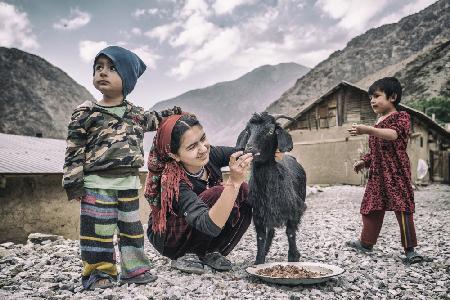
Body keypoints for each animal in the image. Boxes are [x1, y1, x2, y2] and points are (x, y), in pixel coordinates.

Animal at [236, 112, 306, 264]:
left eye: (270, 131)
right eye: (248, 130)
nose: (250, 149)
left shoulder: (294, 210)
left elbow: (290, 233)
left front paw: (293, 257)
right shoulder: (259, 214)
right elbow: (261, 237)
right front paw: (259, 260)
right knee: (271, 231)